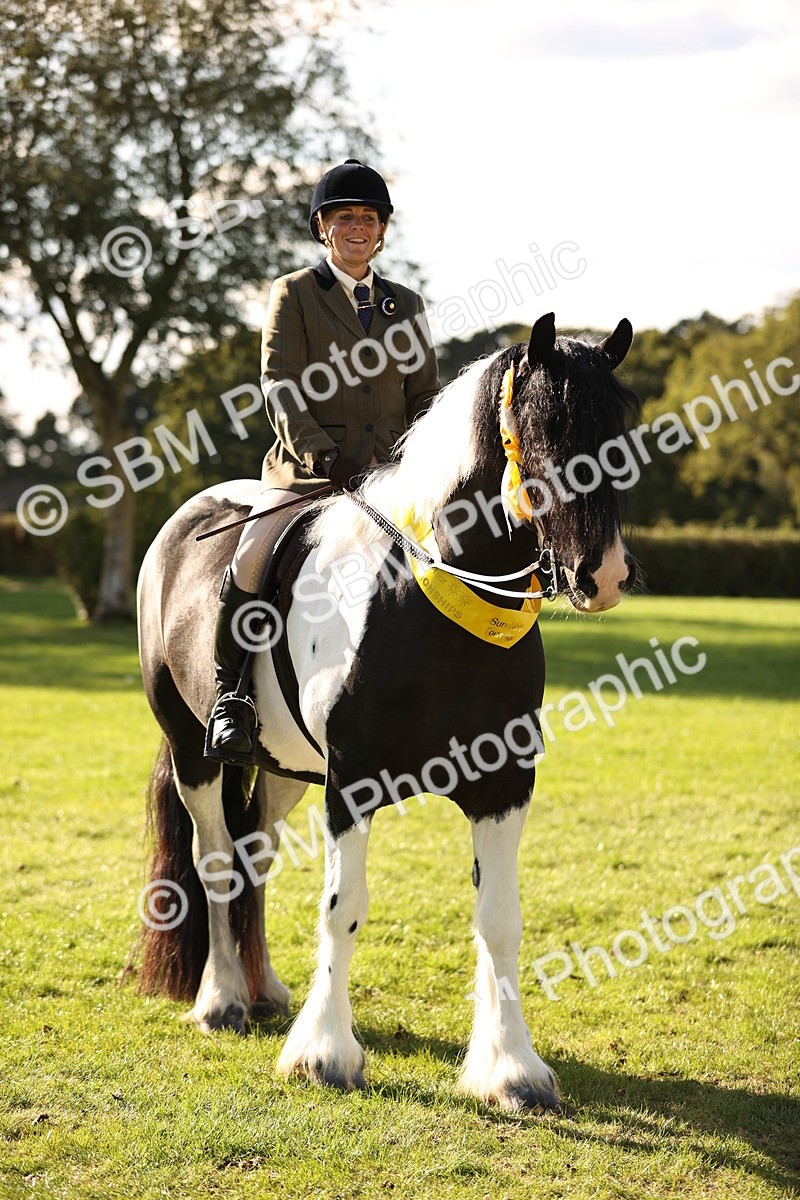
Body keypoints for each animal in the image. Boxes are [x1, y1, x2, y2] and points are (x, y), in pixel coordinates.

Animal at [135, 312, 640, 1113]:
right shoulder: (353, 784)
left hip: (284, 768)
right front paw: (324, 1055)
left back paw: (266, 990)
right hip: (195, 750)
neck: (431, 606)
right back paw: (222, 1001)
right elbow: (342, 906)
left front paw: (512, 1069)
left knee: (255, 856)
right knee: (215, 861)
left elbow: (500, 918)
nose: (605, 573)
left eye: (619, 426)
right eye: (547, 425)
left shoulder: (504, 786)